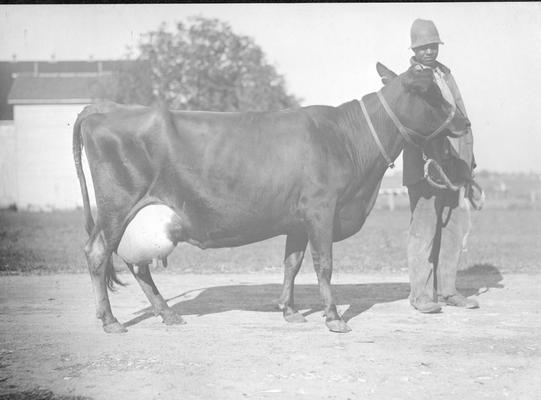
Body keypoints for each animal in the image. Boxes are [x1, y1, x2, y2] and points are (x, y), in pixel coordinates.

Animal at [73, 63, 468, 334]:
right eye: (432, 94)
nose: (463, 122)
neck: (347, 139)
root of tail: (104, 108)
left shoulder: (297, 220)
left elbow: (291, 263)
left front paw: (290, 311)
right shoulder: (322, 210)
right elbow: (324, 264)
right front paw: (333, 317)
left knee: (136, 264)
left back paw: (168, 314)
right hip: (117, 208)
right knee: (98, 254)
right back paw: (110, 320)